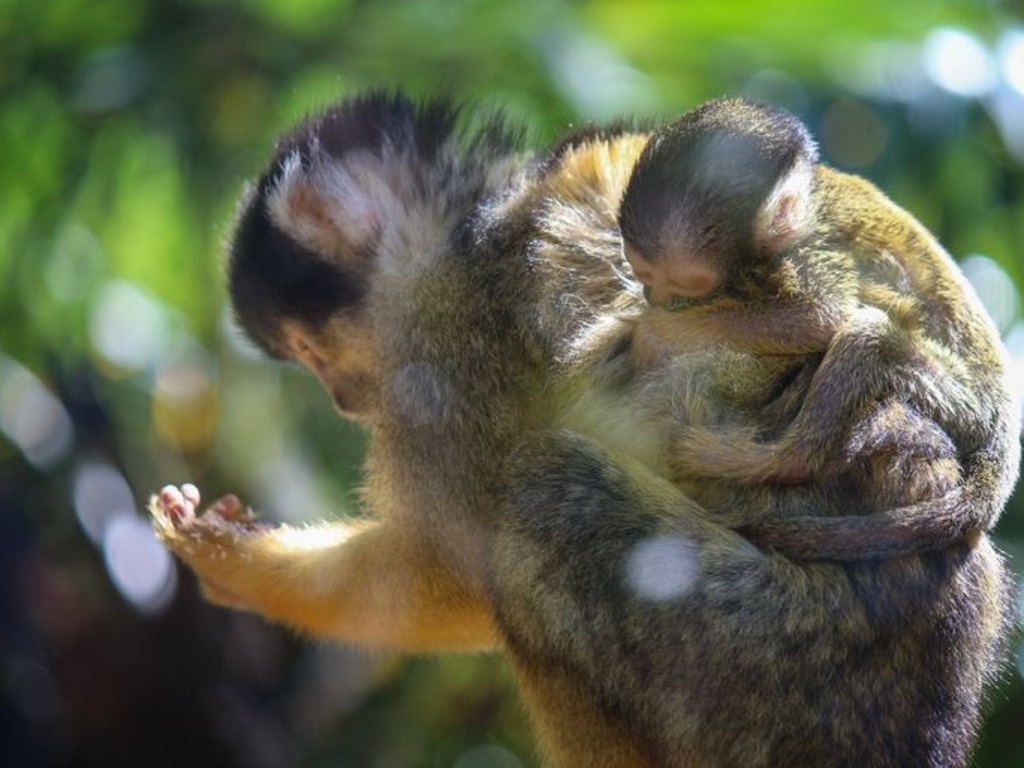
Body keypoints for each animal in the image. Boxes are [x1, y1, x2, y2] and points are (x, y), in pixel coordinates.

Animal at [610, 100, 1019, 561]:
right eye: (644, 273)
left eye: (684, 286)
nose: (655, 297)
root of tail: (1003, 433)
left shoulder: (809, 248)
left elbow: (820, 314)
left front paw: (654, 332)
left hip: (962, 403)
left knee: (867, 334)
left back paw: (773, 460)